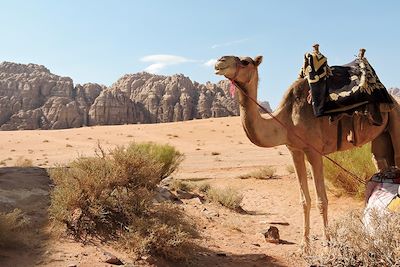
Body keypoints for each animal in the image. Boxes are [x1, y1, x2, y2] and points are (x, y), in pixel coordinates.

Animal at [214, 54, 400, 251]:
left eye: (245, 62)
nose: (219, 61)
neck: (286, 120)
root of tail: (393, 100)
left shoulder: (313, 150)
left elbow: (321, 200)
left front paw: (327, 244)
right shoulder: (294, 150)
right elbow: (304, 200)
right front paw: (304, 245)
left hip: (396, 119)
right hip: (381, 135)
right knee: (381, 162)